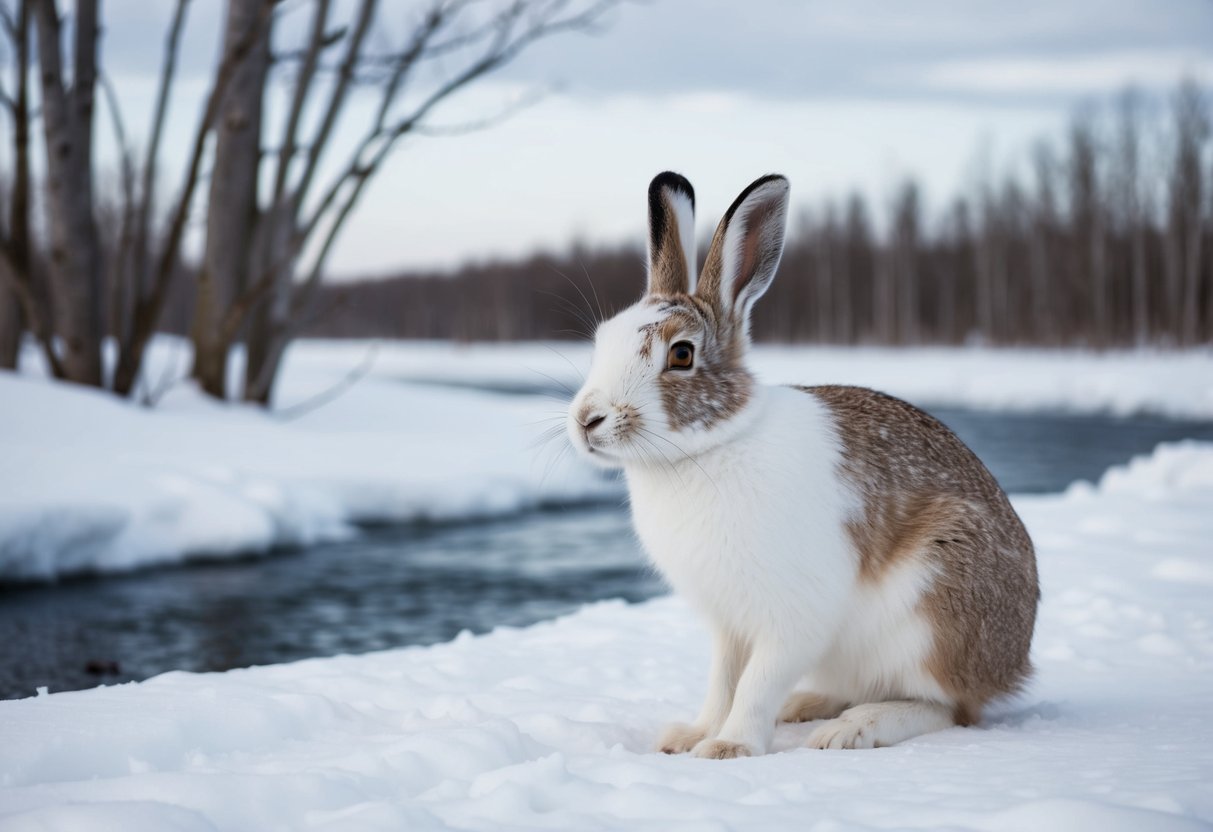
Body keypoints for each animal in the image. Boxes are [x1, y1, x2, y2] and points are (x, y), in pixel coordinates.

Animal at [565, 172, 1039, 758]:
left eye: (681, 355)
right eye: (602, 340)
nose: (586, 420)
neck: (711, 448)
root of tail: (1013, 662)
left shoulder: (793, 616)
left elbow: (756, 683)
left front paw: (730, 747)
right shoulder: (728, 624)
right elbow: (723, 681)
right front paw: (691, 736)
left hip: (933, 610)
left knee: (948, 708)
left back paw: (852, 729)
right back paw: (806, 705)